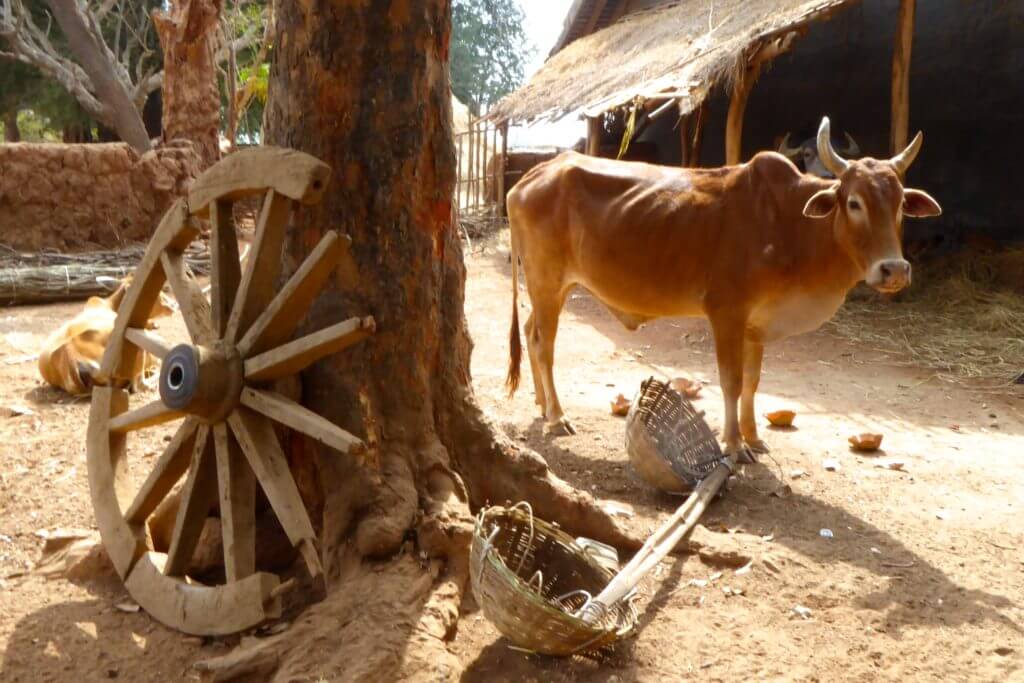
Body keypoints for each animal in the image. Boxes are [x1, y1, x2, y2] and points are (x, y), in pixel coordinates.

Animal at [505, 116, 942, 458]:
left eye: (900, 204)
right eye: (854, 202)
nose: (894, 270)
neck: (791, 227)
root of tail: (528, 178)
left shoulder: (756, 324)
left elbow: (752, 381)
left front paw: (754, 437)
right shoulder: (726, 312)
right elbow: (730, 381)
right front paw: (734, 444)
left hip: (554, 288)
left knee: (530, 331)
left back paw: (542, 404)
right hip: (546, 283)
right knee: (543, 344)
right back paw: (557, 417)